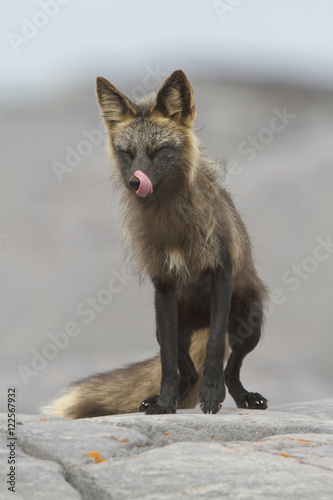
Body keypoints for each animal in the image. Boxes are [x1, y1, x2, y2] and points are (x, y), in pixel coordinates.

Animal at [44, 67, 268, 418]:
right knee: (185, 370)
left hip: (249, 322)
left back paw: (242, 396)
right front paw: (164, 403)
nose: (134, 182)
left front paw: (211, 395)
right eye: (126, 152)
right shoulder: (163, 284)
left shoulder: (220, 272)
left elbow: (215, 348)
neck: (172, 224)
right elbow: (167, 364)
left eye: (158, 151)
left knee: (231, 367)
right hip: (167, 329)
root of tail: (199, 321)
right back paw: (168, 398)